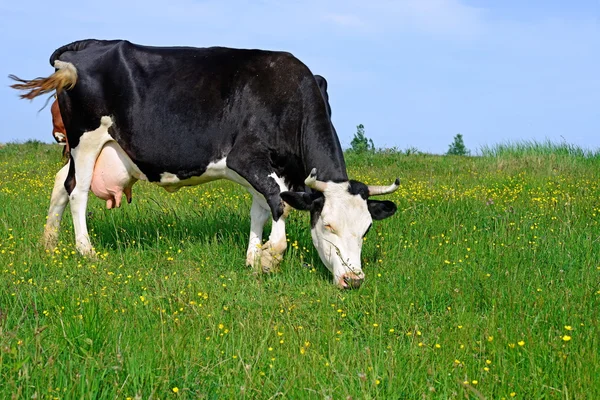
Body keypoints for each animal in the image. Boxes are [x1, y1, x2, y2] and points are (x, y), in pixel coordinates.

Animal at [10, 39, 398, 290]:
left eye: (366, 230)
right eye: (328, 225)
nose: (354, 280)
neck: (289, 96)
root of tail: (81, 47)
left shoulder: (271, 171)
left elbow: (261, 210)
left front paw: (252, 259)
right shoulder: (247, 158)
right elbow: (279, 207)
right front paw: (270, 258)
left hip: (85, 147)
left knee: (62, 185)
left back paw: (49, 245)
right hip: (86, 138)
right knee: (79, 193)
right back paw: (86, 251)